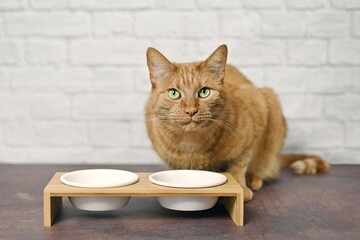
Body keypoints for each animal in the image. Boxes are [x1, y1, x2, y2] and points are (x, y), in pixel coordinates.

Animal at [145, 44, 330, 201]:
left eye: (204, 92)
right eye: (174, 93)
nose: (191, 111)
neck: (192, 142)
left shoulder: (254, 121)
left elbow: (238, 166)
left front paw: (242, 188)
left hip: (270, 104)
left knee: (264, 165)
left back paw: (254, 178)